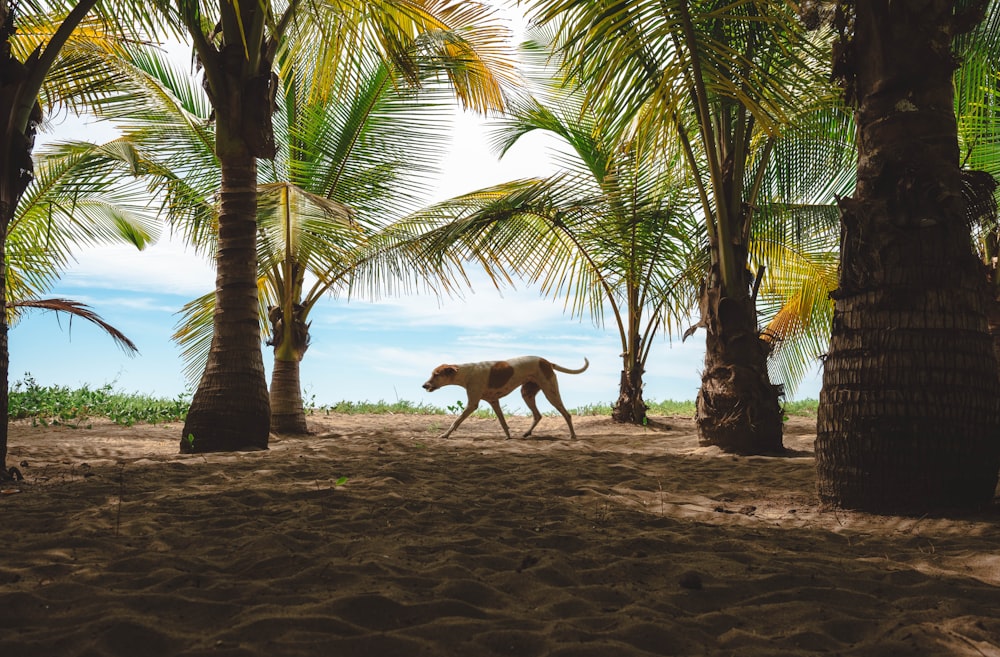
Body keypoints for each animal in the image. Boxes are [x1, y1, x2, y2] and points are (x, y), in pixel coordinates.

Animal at [420, 354, 588, 440]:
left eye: (436, 374)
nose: (424, 385)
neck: (466, 373)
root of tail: (547, 362)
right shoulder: (494, 401)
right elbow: (502, 422)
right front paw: (508, 436)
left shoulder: (472, 404)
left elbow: (456, 421)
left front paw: (445, 434)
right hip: (527, 393)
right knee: (538, 415)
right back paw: (527, 433)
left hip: (551, 393)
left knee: (566, 414)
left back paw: (573, 436)